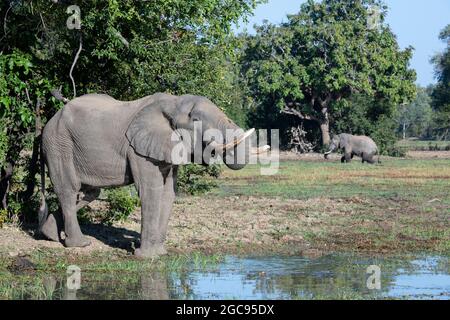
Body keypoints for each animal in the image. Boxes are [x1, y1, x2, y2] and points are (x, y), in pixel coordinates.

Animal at [38, 92, 266, 258]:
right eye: (196, 119)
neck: (174, 102)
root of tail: (48, 123)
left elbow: (168, 193)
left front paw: (159, 253)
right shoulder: (138, 150)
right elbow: (151, 191)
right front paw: (146, 256)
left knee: (90, 192)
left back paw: (49, 234)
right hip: (58, 144)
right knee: (69, 190)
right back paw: (80, 244)